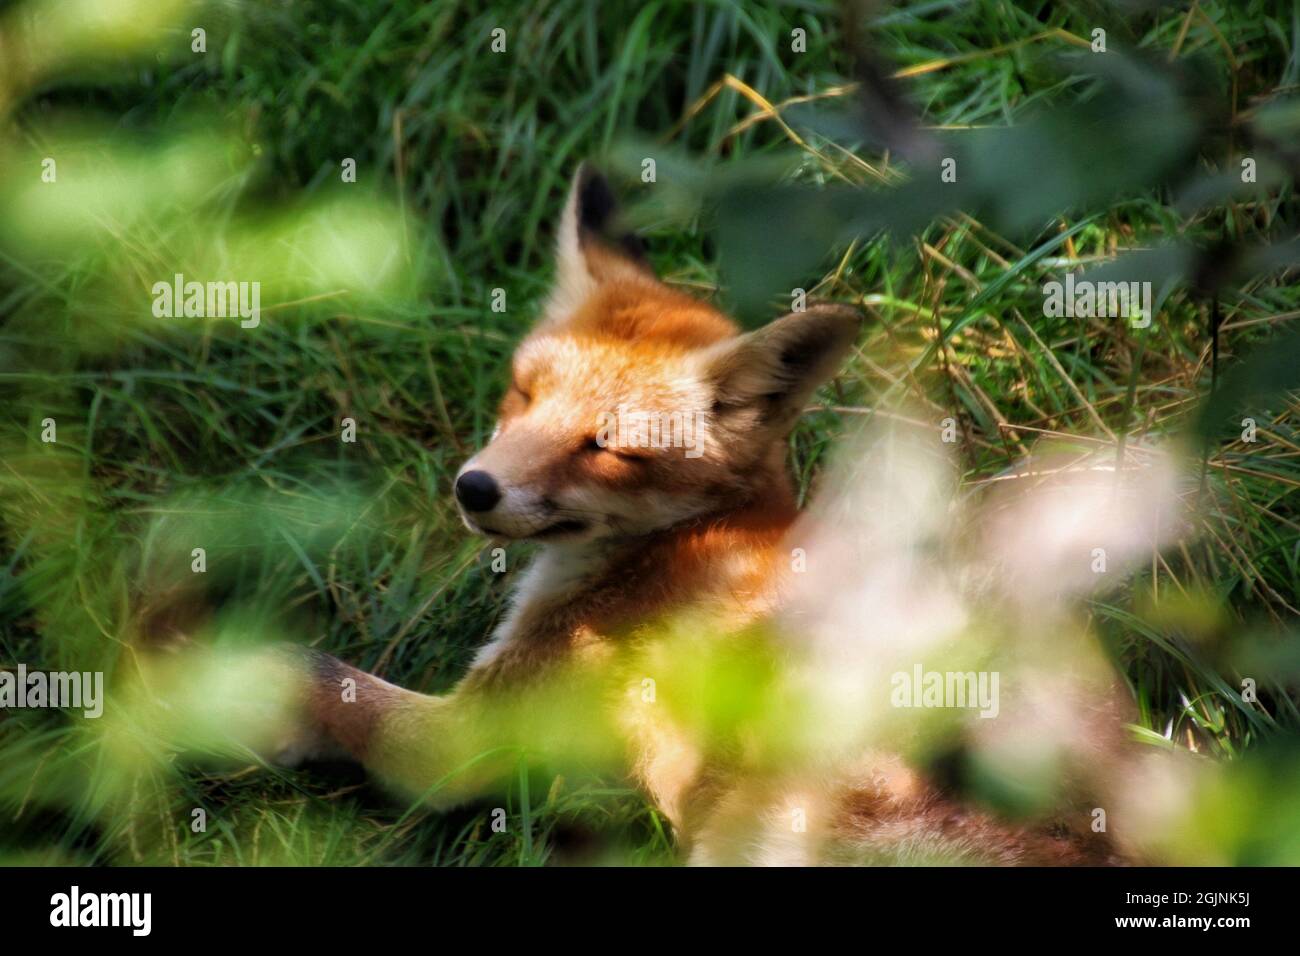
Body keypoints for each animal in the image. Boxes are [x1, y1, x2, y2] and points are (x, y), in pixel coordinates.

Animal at [271, 164, 1128, 868]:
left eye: (607, 447)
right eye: (524, 395)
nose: (474, 488)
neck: (681, 537)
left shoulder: (470, 736)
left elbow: (314, 674)